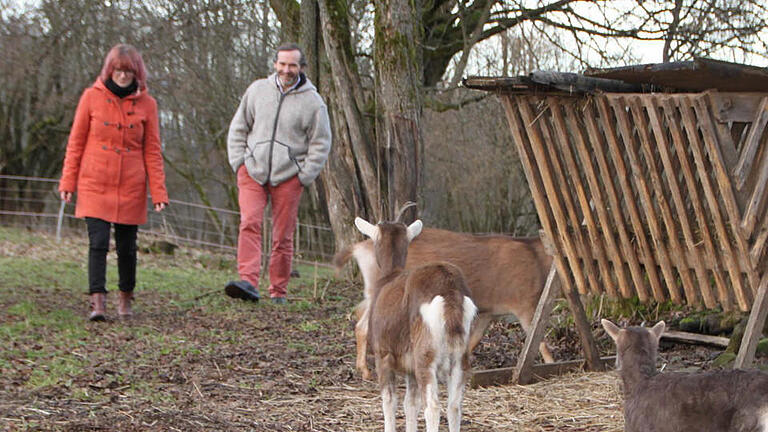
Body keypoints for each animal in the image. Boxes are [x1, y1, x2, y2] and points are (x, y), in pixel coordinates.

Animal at [334, 228, 552, 380]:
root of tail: (359, 248)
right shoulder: (525, 304)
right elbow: (538, 337)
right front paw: (551, 362)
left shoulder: (488, 312)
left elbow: (474, 339)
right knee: (363, 325)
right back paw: (366, 371)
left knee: (359, 315)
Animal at [356, 218, 476, 432]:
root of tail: (450, 293)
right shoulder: (410, 365)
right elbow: (410, 404)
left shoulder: (382, 353)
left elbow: (389, 401)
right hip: (461, 355)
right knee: (454, 406)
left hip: (425, 354)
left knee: (433, 407)